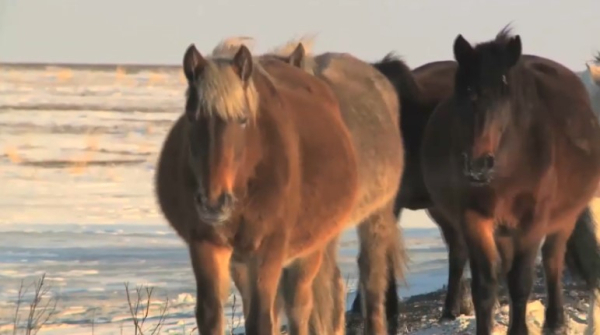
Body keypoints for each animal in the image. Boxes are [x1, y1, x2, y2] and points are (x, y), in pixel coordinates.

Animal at [155, 36, 406, 335]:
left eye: (242, 119)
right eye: (192, 117)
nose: (213, 203)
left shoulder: (268, 251)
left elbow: (265, 317)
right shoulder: (208, 246)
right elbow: (213, 315)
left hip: (364, 221)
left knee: (355, 285)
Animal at [420, 26, 600, 335]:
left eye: (505, 93)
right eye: (465, 91)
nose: (478, 165)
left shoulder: (533, 222)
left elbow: (521, 281)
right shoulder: (473, 219)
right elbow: (485, 285)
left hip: (564, 217)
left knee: (552, 260)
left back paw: (555, 321)